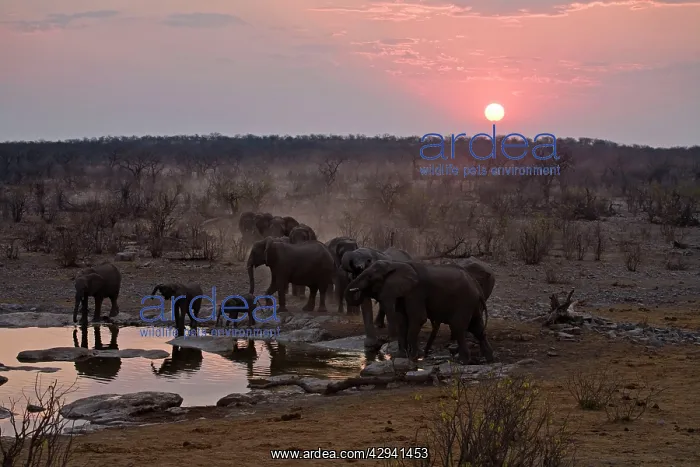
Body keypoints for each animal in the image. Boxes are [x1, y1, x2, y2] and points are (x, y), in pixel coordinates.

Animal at [345, 260, 494, 364]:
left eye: (370, 277)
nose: (359, 290)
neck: (395, 264)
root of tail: (477, 287)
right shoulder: (403, 293)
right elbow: (402, 320)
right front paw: (401, 356)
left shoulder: (415, 292)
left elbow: (418, 318)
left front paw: (414, 356)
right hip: (472, 304)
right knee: (477, 328)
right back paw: (489, 359)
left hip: (465, 302)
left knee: (458, 327)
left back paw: (462, 361)